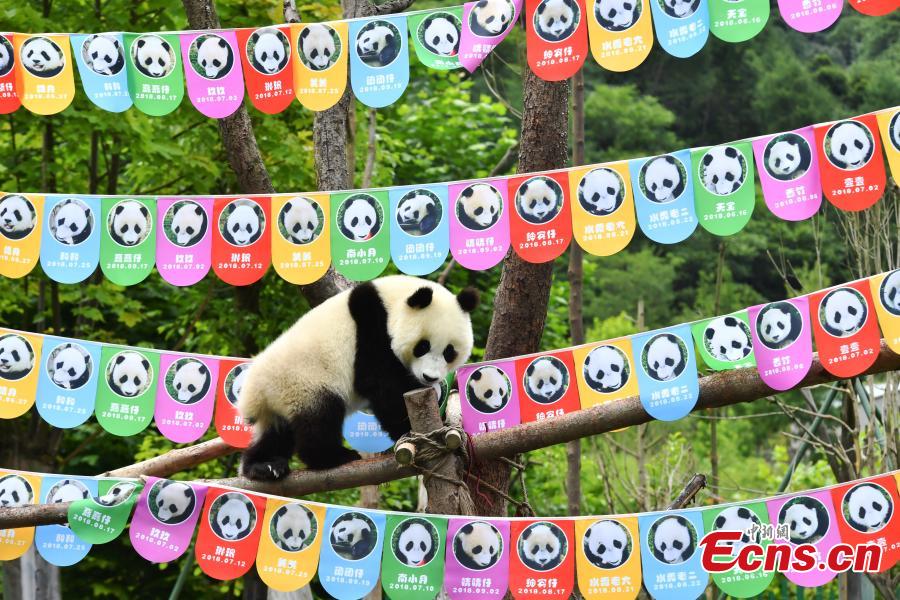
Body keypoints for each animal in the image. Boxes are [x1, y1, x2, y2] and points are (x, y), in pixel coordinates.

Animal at [238, 276, 478, 480]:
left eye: (449, 352)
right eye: (423, 346)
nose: (429, 377)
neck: (390, 302)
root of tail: (254, 392)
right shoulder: (370, 329)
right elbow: (381, 384)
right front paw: (408, 429)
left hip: (280, 401)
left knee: (277, 434)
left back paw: (264, 465)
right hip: (305, 382)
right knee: (320, 418)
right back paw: (333, 456)